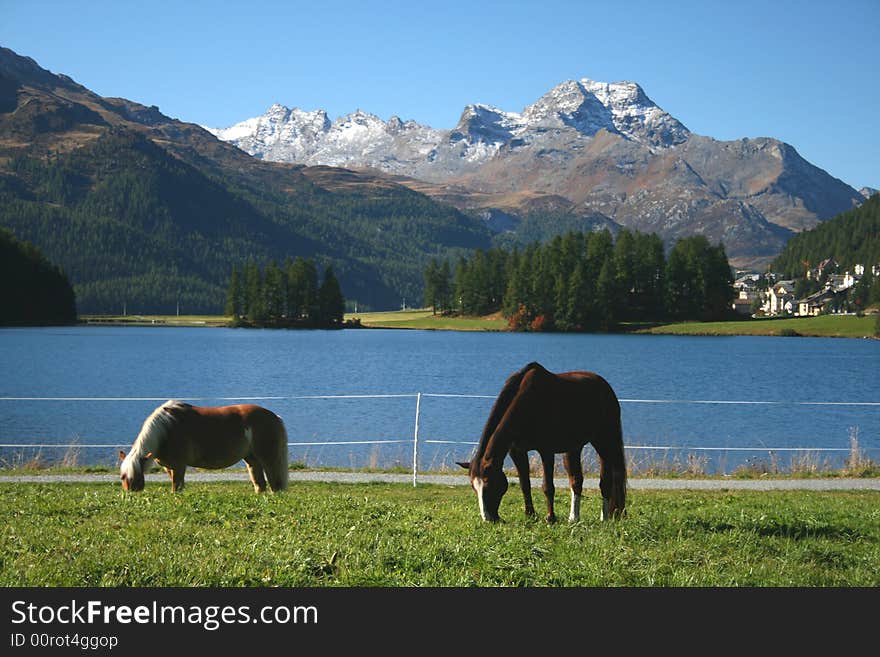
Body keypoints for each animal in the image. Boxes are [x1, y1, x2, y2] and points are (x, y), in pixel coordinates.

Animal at [119, 400, 288, 492]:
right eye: (122, 476)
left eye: (137, 476)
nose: (131, 495)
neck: (167, 429)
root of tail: (274, 416)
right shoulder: (169, 468)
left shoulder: (179, 466)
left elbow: (176, 488)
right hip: (252, 460)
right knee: (260, 485)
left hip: (269, 459)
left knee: (275, 485)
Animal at [460, 358, 624, 524]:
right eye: (473, 487)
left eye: (490, 485)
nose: (488, 519)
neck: (527, 403)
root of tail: (605, 386)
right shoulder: (517, 451)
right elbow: (524, 484)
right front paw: (530, 514)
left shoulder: (546, 451)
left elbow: (548, 487)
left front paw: (550, 518)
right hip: (573, 448)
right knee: (576, 480)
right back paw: (574, 518)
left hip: (604, 441)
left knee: (606, 480)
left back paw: (604, 517)